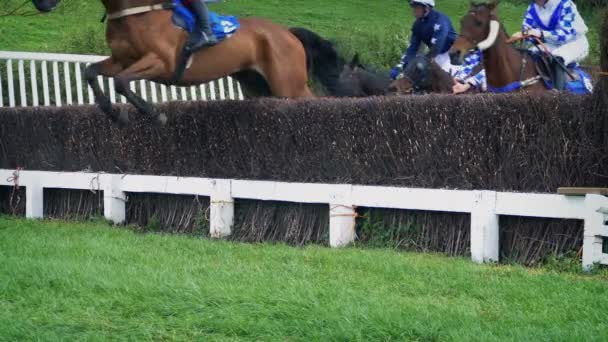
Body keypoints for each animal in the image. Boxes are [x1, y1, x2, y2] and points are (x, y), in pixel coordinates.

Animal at [32, 0, 346, 125]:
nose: (41, 5)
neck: (137, 12)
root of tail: (287, 33)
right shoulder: (120, 59)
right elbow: (91, 72)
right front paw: (113, 113)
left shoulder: (161, 63)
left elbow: (121, 83)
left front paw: (154, 114)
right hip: (258, 87)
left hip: (288, 85)